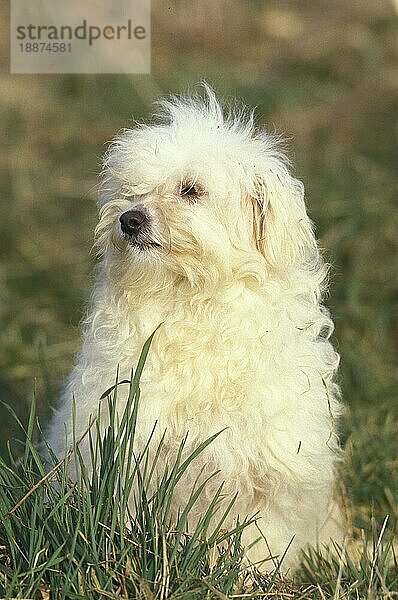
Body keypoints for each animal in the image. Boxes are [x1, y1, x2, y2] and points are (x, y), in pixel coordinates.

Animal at [46, 85, 346, 572]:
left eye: (191, 190)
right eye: (130, 189)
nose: (129, 219)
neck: (192, 307)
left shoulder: (264, 470)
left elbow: (258, 538)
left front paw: (249, 577)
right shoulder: (128, 447)